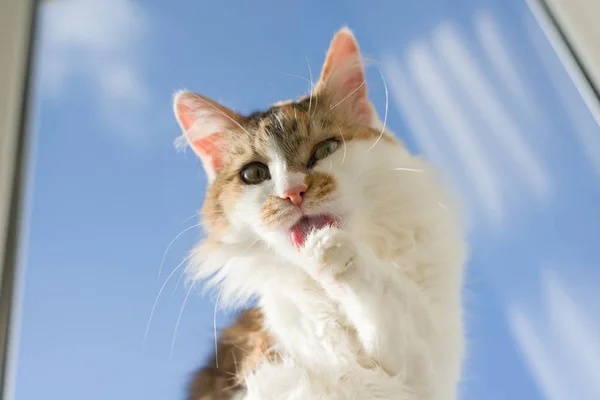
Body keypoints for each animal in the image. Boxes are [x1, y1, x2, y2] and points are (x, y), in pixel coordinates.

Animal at [173, 26, 468, 398]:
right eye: (254, 174)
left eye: (324, 150)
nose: (292, 192)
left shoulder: (426, 366)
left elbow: (393, 304)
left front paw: (329, 247)